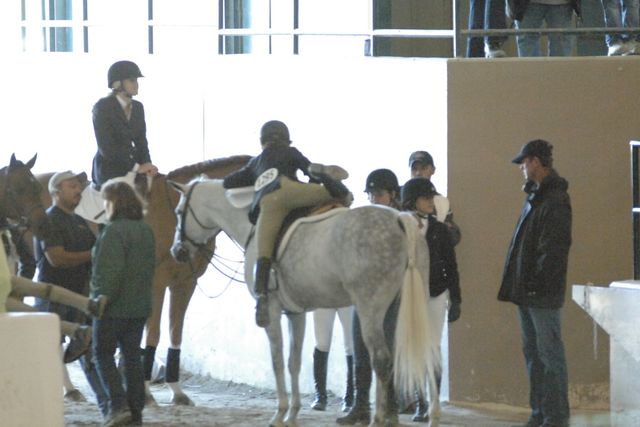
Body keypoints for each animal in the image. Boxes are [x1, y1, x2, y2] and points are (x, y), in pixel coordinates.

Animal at [26, 155, 251, 404]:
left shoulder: (185, 283)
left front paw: (177, 391)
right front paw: (146, 391)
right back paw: (68, 387)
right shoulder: (155, 284)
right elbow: (152, 333)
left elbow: (175, 333)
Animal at [168, 175, 441, 427]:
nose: (176, 251)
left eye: (179, 212)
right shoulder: (295, 313)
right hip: (404, 309)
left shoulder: (272, 311)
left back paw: (379, 419)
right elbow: (294, 362)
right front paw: (293, 414)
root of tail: (399, 218)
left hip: (370, 310)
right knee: (410, 358)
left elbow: (277, 360)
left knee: (381, 360)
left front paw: (279, 414)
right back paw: (411, 417)